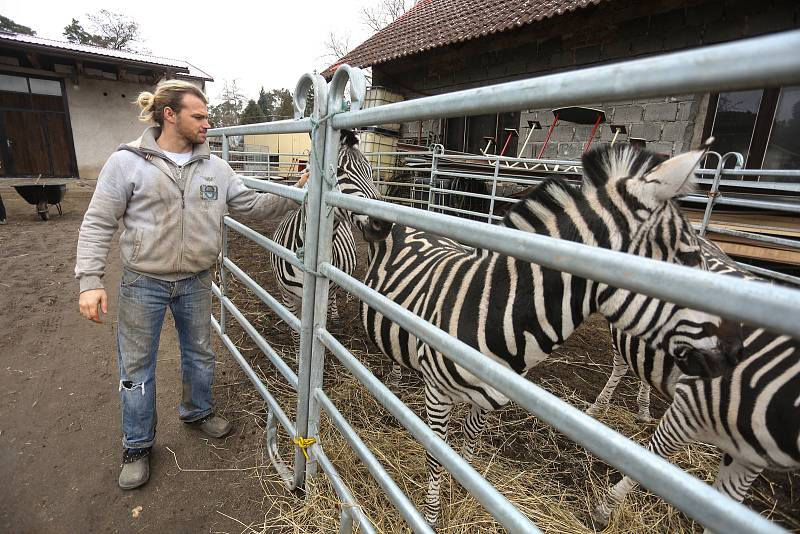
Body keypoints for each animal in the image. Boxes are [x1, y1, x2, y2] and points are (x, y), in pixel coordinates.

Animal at [268, 131, 382, 344]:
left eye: (370, 171)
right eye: (338, 170)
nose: (384, 224)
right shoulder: (288, 298)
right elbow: (296, 334)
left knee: (333, 298)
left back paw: (335, 317)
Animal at [362, 143, 744, 528]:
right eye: (689, 258)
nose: (736, 353)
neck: (494, 315)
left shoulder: (488, 397)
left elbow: (468, 444)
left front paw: (465, 490)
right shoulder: (437, 396)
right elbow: (437, 455)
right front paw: (431, 517)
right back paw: (393, 378)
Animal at [588, 242, 800, 532]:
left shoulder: (750, 458)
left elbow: (726, 504)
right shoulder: (686, 410)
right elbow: (649, 462)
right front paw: (605, 509)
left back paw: (642, 409)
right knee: (620, 364)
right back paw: (598, 407)